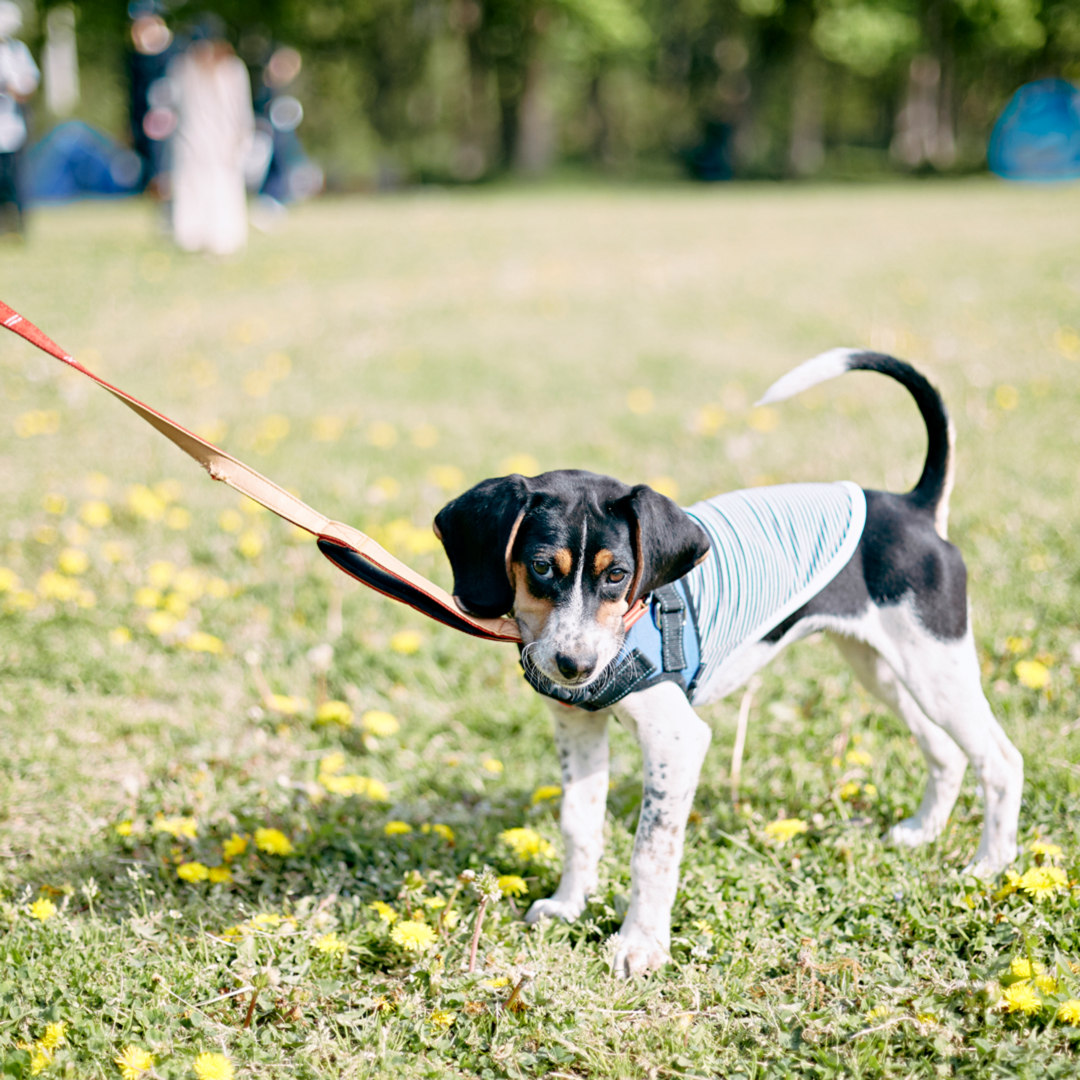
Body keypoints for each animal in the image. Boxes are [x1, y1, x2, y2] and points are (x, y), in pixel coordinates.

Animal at [432, 352, 1019, 980]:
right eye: (541, 566)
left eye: (618, 575)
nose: (575, 665)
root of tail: (913, 507)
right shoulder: (578, 727)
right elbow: (579, 823)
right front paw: (569, 905)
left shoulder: (676, 738)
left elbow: (651, 851)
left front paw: (640, 945)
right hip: (886, 669)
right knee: (947, 753)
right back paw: (921, 833)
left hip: (936, 665)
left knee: (1000, 761)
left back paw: (990, 866)